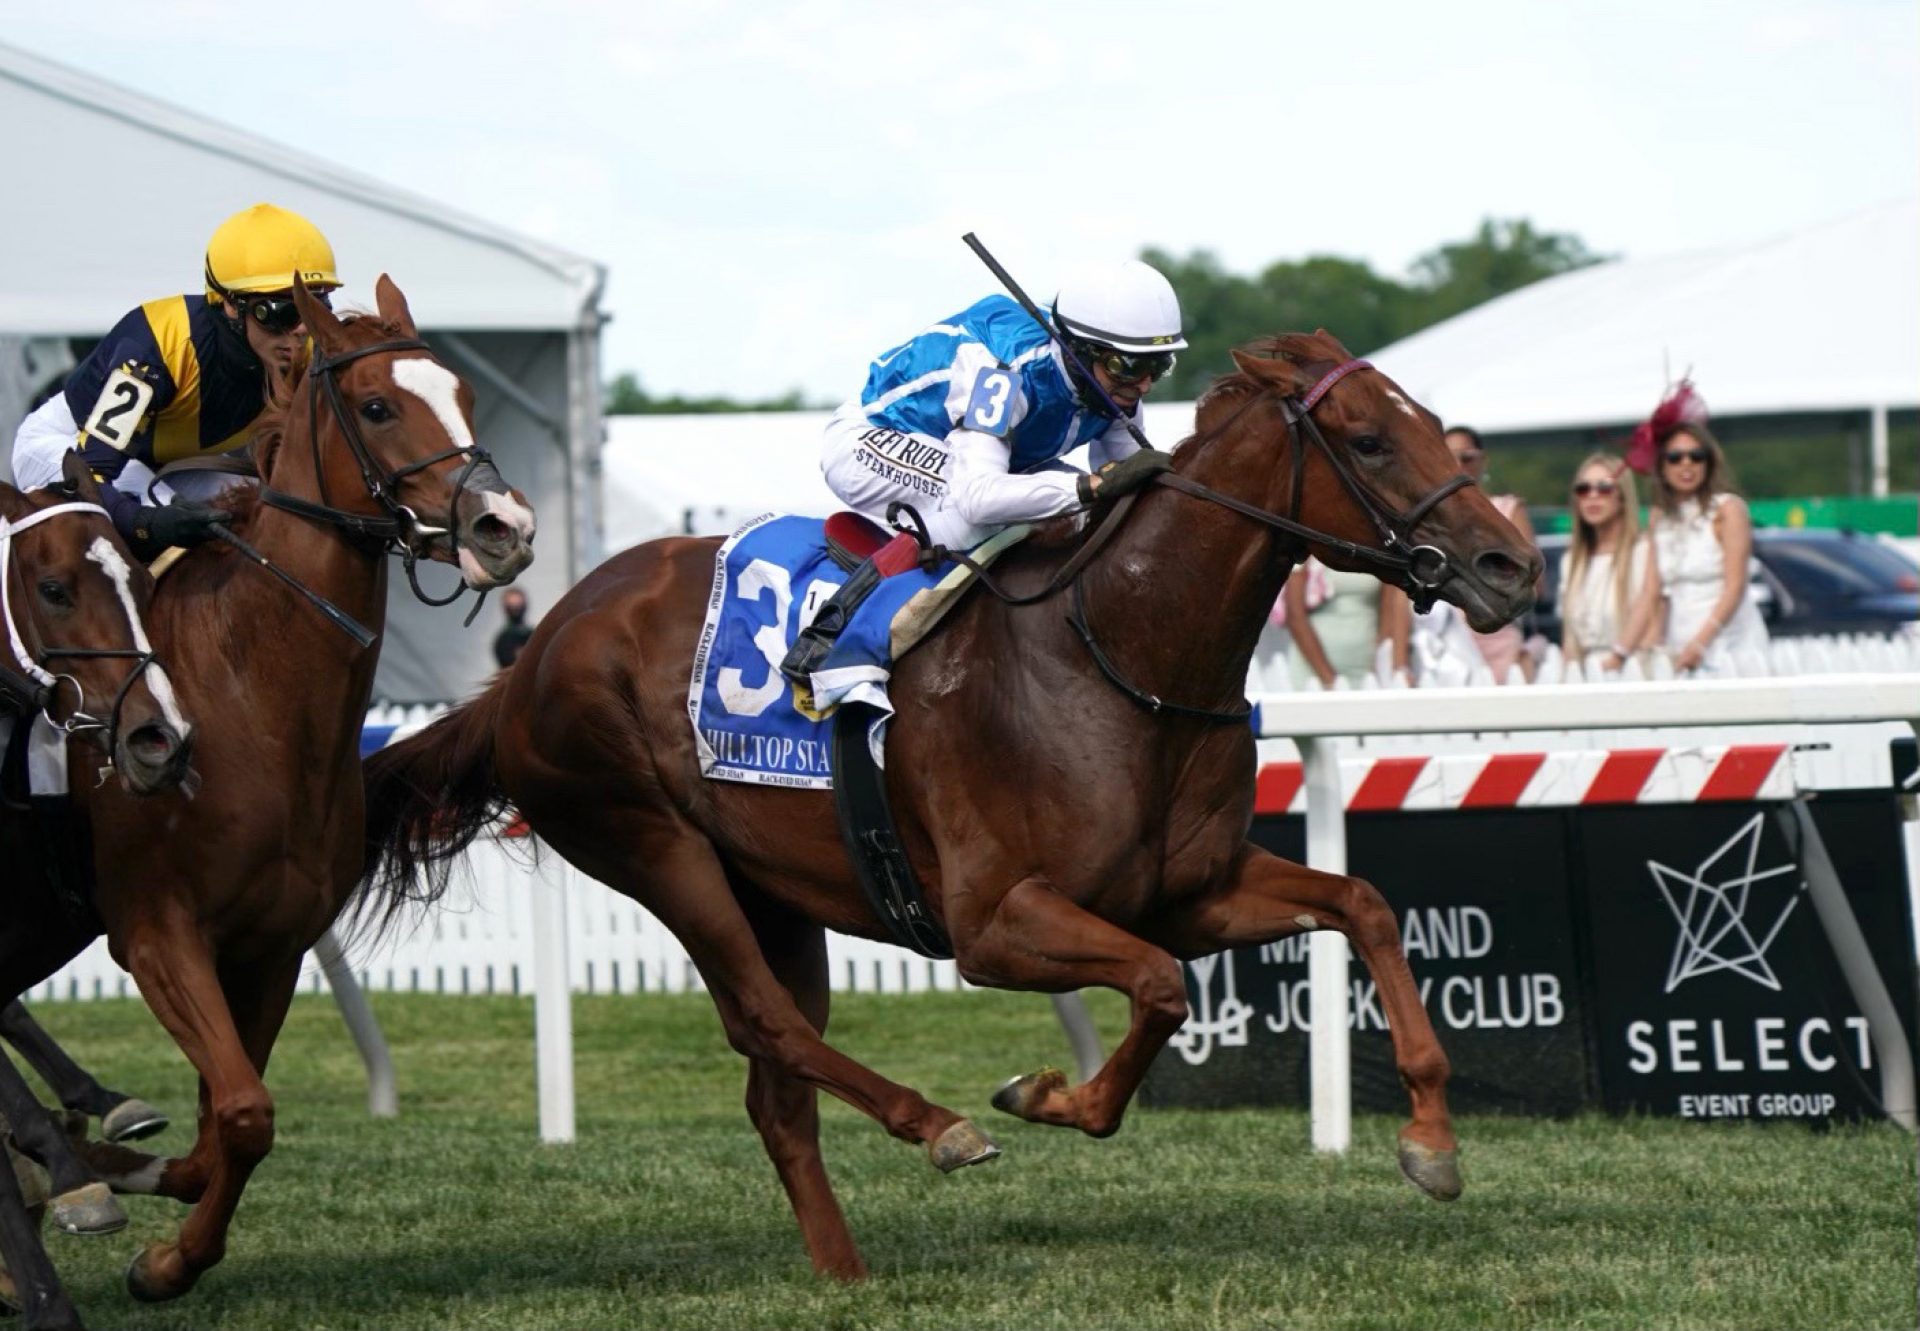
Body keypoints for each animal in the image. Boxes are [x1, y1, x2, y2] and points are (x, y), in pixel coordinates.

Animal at [0, 274, 533, 1306]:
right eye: (377, 406)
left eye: (464, 394)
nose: (507, 527)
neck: (252, 697)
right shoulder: (158, 933)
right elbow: (246, 1110)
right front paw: (135, 1223)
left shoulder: (271, 946)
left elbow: (225, 1127)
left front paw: (164, 1240)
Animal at [366, 332, 1543, 1275]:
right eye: (1370, 440)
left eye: (1435, 429)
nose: (1513, 564)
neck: (1116, 653)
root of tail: (530, 657)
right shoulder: (993, 923)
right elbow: (1161, 988)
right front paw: (1045, 1095)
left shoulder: (1193, 888)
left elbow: (1362, 903)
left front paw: (1432, 1140)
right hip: (656, 848)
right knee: (768, 1022)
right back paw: (938, 1124)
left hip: (772, 892)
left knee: (775, 1085)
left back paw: (844, 1269)